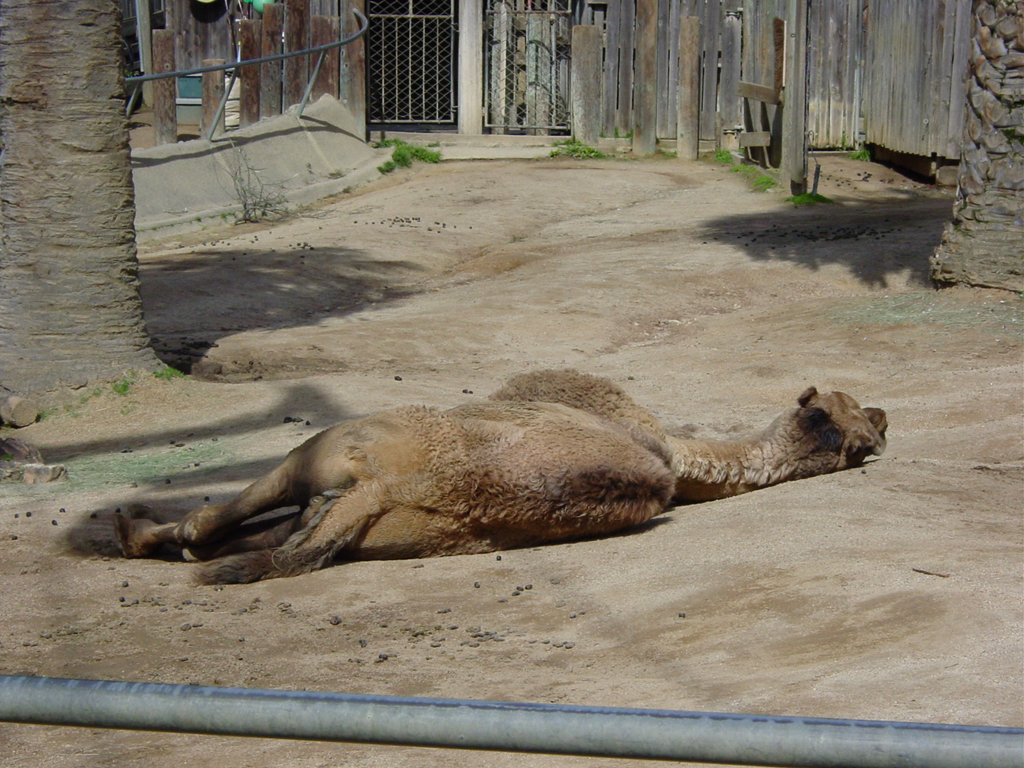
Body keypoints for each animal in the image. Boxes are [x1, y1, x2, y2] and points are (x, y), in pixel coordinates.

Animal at [114, 370, 887, 584]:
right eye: (853, 412)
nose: (885, 416)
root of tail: (398, 489)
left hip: (333, 447)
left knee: (222, 519)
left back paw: (135, 530)